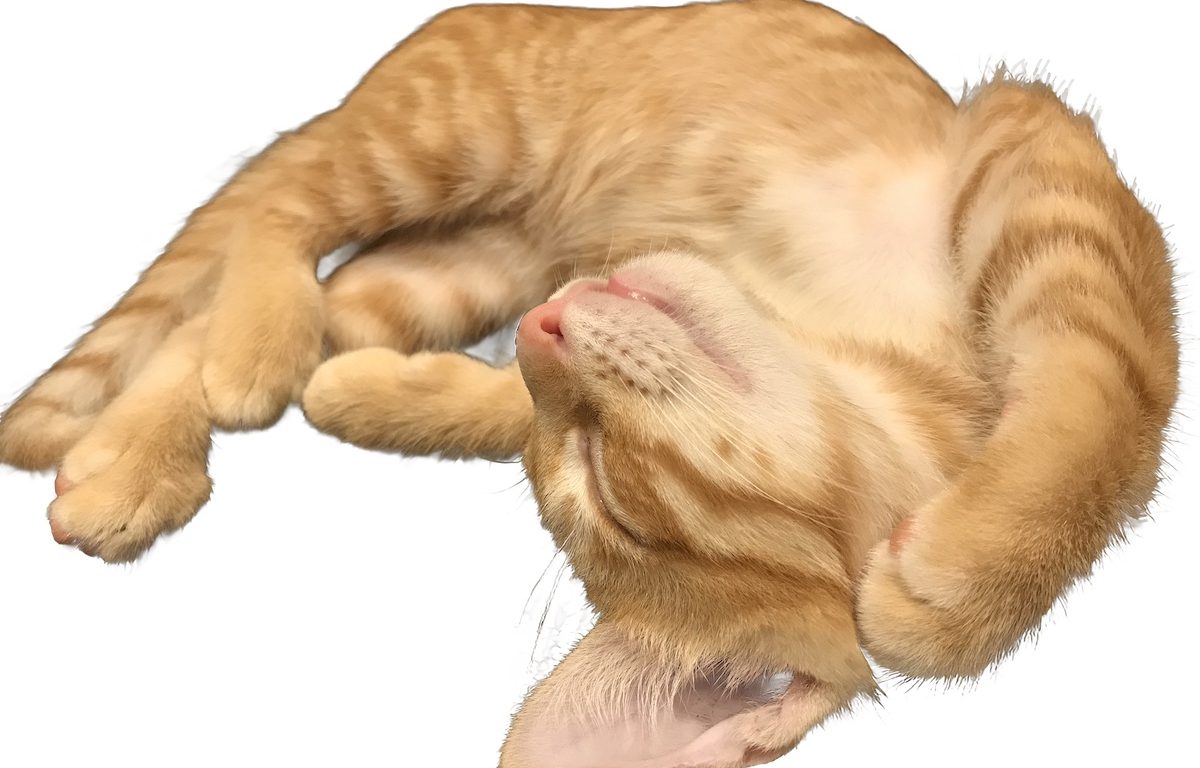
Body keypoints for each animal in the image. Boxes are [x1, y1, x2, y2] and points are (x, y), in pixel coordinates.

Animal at [0, 1, 1178, 766]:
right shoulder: (1027, 140)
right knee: (276, 212)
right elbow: (1112, 400)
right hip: (451, 132)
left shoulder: (1050, 180)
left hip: (467, 260)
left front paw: (970, 577)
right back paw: (235, 367)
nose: (548, 326)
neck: (858, 354)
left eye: (603, 480)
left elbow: (1104, 403)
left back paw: (164, 437)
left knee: (292, 295)